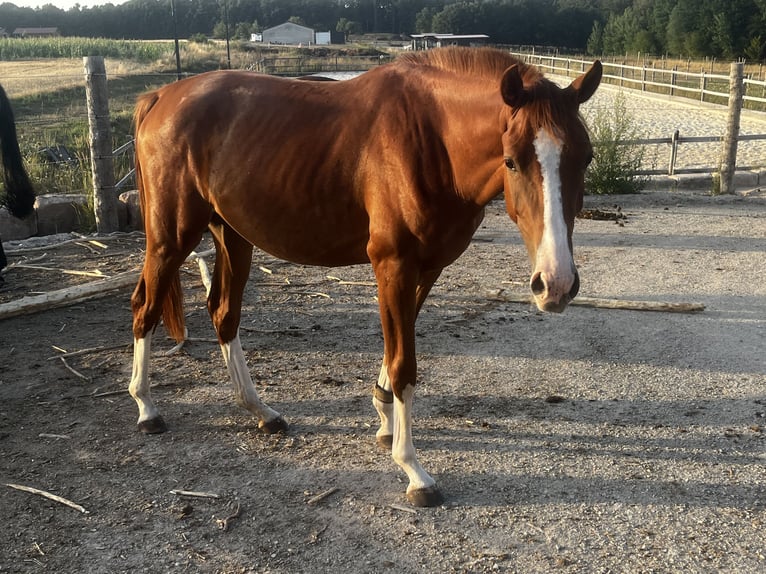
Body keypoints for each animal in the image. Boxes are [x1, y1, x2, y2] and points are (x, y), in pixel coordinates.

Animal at [129, 47, 602, 507]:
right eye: (511, 161)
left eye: (586, 158)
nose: (556, 284)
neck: (430, 137)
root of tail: (162, 96)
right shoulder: (392, 264)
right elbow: (404, 362)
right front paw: (414, 471)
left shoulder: (427, 268)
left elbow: (398, 346)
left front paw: (385, 420)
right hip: (172, 238)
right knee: (145, 308)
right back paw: (147, 408)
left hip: (232, 235)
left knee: (224, 314)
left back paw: (261, 412)